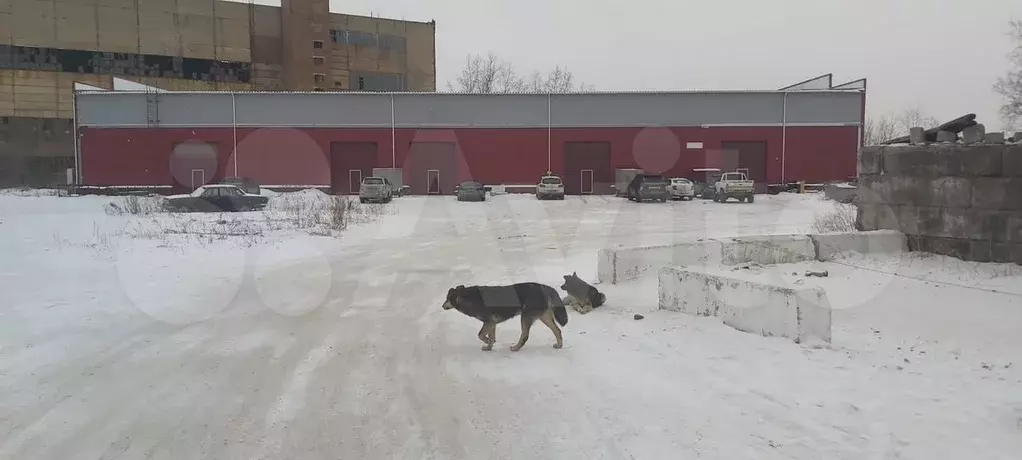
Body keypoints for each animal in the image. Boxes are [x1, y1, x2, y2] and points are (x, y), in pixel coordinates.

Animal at [439, 280, 568, 351]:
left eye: (447, 299)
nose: (442, 306)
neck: (468, 296)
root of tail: (547, 288)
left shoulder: (488, 321)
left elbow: (481, 335)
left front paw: (488, 343)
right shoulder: (492, 323)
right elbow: (491, 336)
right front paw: (489, 347)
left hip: (525, 317)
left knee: (525, 336)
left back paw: (516, 348)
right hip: (544, 317)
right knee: (557, 330)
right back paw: (559, 345)